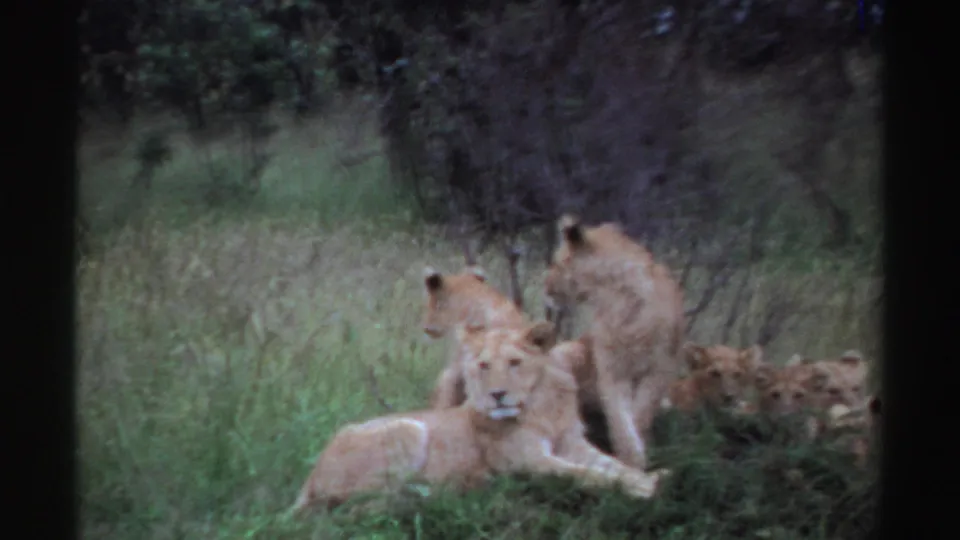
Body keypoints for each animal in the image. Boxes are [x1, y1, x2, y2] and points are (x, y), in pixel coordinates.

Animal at [290, 321, 666, 514]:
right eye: (484, 365)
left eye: (514, 362)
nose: (496, 395)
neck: (542, 407)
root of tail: (309, 477)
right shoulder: (528, 462)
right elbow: (588, 475)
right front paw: (645, 488)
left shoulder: (572, 444)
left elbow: (612, 465)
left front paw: (653, 476)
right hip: (408, 429)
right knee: (366, 502)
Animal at [543, 214, 686, 470]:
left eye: (557, 263)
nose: (545, 287)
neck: (617, 299)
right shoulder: (611, 370)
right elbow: (620, 419)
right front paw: (630, 458)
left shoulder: (660, 370)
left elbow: (640, 415)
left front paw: (637, 457)